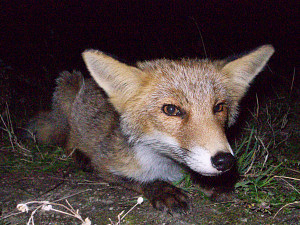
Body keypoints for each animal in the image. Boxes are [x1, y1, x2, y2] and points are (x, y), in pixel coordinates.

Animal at [27, 44, 274, 213]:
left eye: (219, 107)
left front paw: (213, 184)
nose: (224, 161)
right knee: (67, 142)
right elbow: (139, 180)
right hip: (68, 88)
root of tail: (88, 80)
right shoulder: (105, 164)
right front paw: (162, 189)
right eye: (171, 109)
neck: (165, 165)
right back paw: (79, 157)